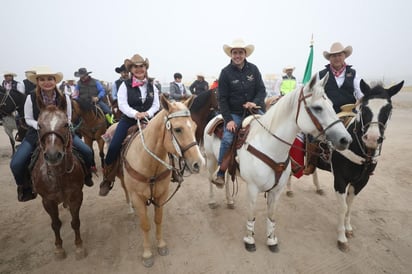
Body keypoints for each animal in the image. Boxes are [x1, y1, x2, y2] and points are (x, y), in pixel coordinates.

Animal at [32, 104, 87, 260]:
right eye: (39, 126)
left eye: (65, 124)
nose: (52, 155)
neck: (58, 175)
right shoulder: (47, 201)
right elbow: (55, 224)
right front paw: (59, 248)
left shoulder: (76, 196)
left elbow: (75, 222)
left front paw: (79, 246)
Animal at [123, 94, 205, 268]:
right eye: (178, 129)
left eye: (195, 127)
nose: (199, 163)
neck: (148, 163)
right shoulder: (138, 198)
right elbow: (145, 225)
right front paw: (147, 254)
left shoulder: (161, 195)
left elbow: (158, 219)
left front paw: (161, 245)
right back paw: (130, 208)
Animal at [203, 73, 350, 253]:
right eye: (317, 108)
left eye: (331, 104)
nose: (345, 139)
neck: (270, 146)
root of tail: (216, 116)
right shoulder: (252, 189)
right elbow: (251, 214)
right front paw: (249, 240)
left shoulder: (276, 191)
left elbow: (271, 216)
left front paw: (271, 240)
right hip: (211, 159)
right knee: (211, 177)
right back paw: (212, 201)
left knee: (227, 178)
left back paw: (230, 200)